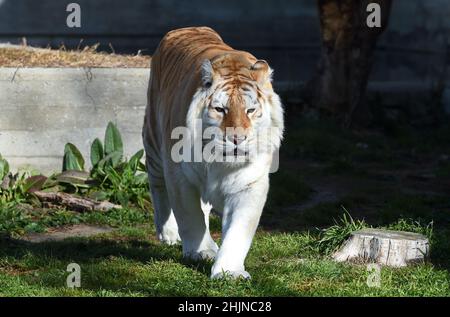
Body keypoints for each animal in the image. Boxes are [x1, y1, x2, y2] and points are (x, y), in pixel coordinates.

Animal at [143, 25, 284, 276]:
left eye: (250, 111)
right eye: (220, 109)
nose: (237, 138)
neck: (219, 162)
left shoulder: (250, 183)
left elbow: (239, 230)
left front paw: (229, 272)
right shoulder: (179, 174)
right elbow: (189, 216)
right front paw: (201, 252)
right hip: (153, 141)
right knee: (157, 185)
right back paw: (168, 233)